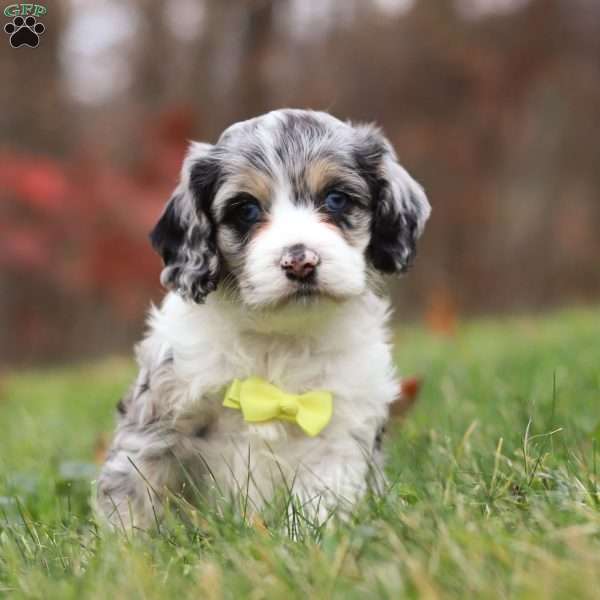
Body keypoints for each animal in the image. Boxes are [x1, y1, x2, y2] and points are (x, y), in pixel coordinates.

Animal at [96, 109, 428, 528]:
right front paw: (126, 544)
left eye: (336, 199)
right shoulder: (156, 422)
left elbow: (316, 508)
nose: (301, 261)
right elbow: (133, 495)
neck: (277, 338)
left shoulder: (337, 437)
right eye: (246, 210)